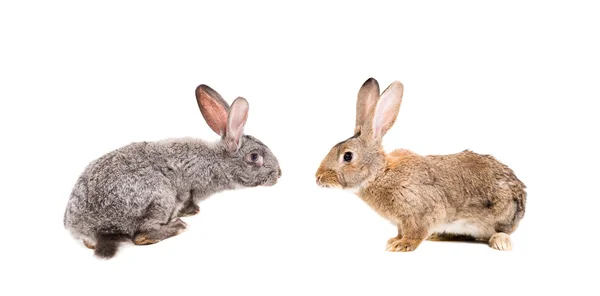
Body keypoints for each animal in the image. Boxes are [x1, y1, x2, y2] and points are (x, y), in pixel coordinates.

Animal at [64, 84, 282, 258]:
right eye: (254, 157)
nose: (279, 174)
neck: (217, 162)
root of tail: (85, 227)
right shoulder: (190, 188)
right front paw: (191, 212)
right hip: (161, 197)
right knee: (141, 235)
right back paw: (178, 226)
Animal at [314, 78, 524, 252]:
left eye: (347, 156)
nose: (318, 177)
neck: (380, 173)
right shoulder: (401, 222)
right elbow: (401, 231)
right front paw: (394, 240)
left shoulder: (420, 211)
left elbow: (416, 233)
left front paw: (401, 245)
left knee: (501, 231)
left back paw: (500, 242)